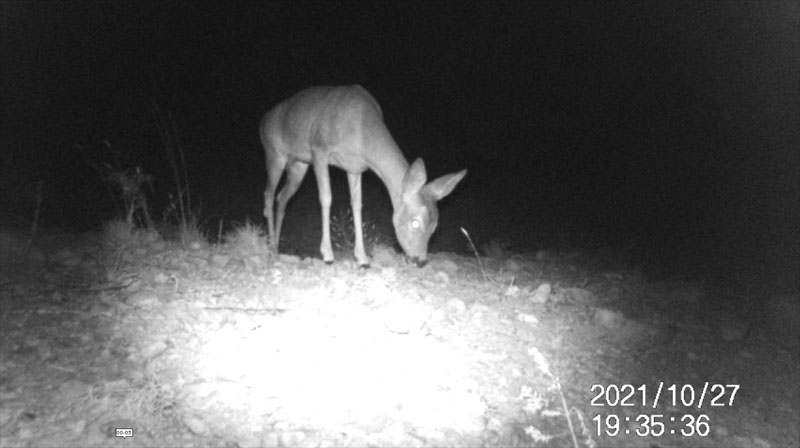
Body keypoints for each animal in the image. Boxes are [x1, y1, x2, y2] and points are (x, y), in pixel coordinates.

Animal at [260, 84, 466, 266]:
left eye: (435, 225)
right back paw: (270, 248)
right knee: (268, 194)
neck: (360, 129)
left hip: (299, 166)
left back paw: (276, 247)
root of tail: (262, 122)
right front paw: (327, 254)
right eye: (414, 223)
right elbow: (326, 198)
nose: (421, 260)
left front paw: (362, 258)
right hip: (275, 154)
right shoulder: (319, 149)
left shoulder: (354, 167)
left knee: (281, 197)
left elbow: (357, 205)